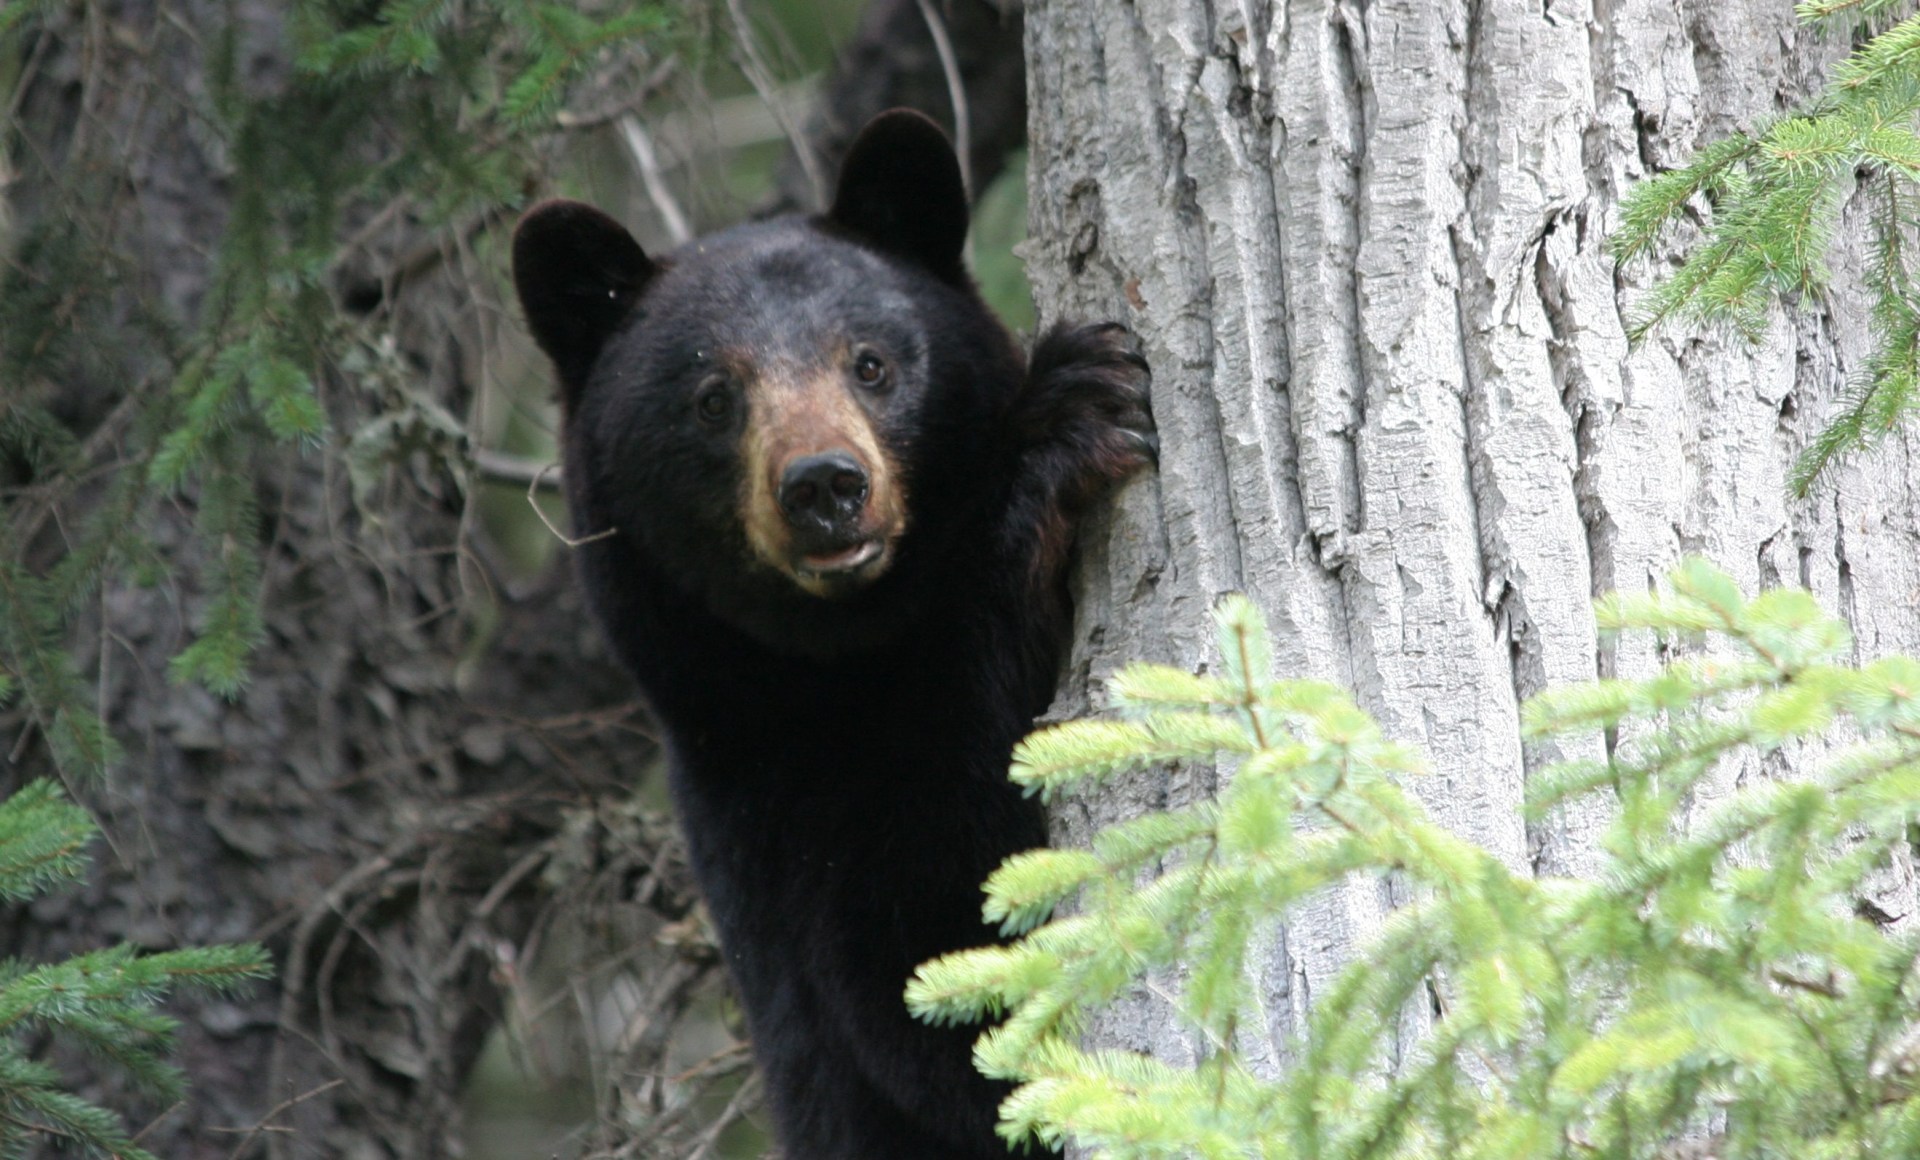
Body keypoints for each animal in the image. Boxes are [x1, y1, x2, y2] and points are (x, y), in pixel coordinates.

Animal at [510, 110, 1152, 1160]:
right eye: (713, 398)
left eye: (872, 362)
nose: (823, 485)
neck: (845, 661)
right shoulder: (779, 814)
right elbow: (949, 983)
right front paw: (1069, 418)